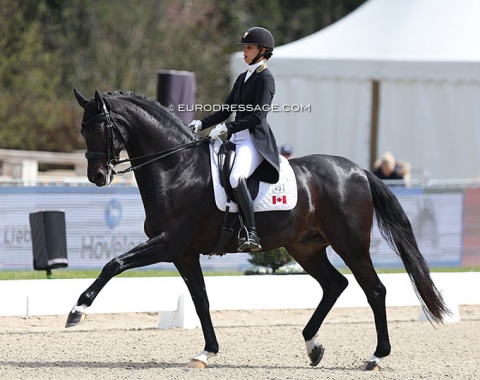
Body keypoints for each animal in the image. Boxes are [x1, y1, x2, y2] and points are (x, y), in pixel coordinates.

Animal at [67, 88, 450, 368]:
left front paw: (77, 311)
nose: (97, 176)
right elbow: (201, 301)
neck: (177, 168)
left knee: (375, 291)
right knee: (334, 285)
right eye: (82, 129)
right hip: (306, 246)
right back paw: (313, 346)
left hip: (351, 244)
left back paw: (376, 356)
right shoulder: (184, 254)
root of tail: (357, 170)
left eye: (99, 128)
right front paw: (206, 352)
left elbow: (113, 264)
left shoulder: (169, 244)